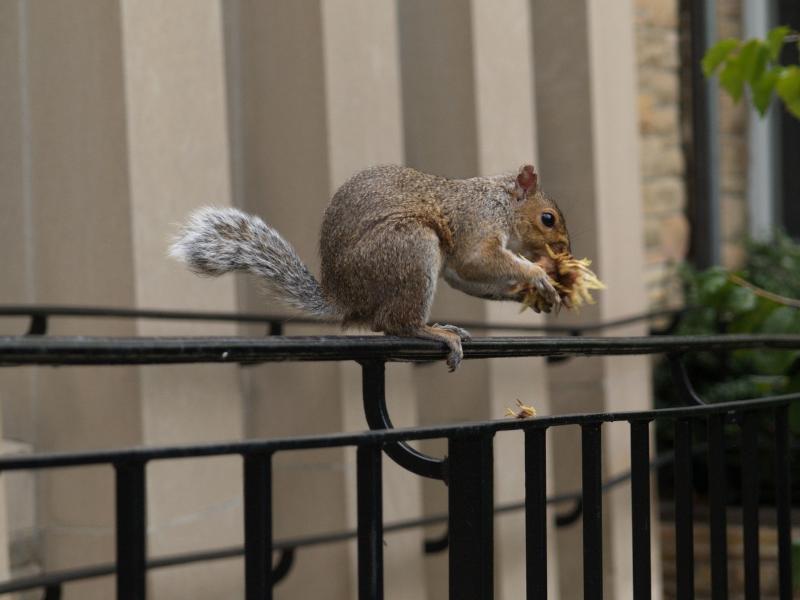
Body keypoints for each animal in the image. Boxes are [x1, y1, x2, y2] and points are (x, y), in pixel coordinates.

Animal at [170, 164, 571, 371]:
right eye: (548, 219)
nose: (565, 251)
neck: (500, 201)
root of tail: (346, 299)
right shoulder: (476, 224)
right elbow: (476, 260)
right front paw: (537, 275)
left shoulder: (461, 260)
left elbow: (466, 277)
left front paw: (541, 292)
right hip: (410, 248)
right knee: (393, 324)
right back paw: (436, 332)